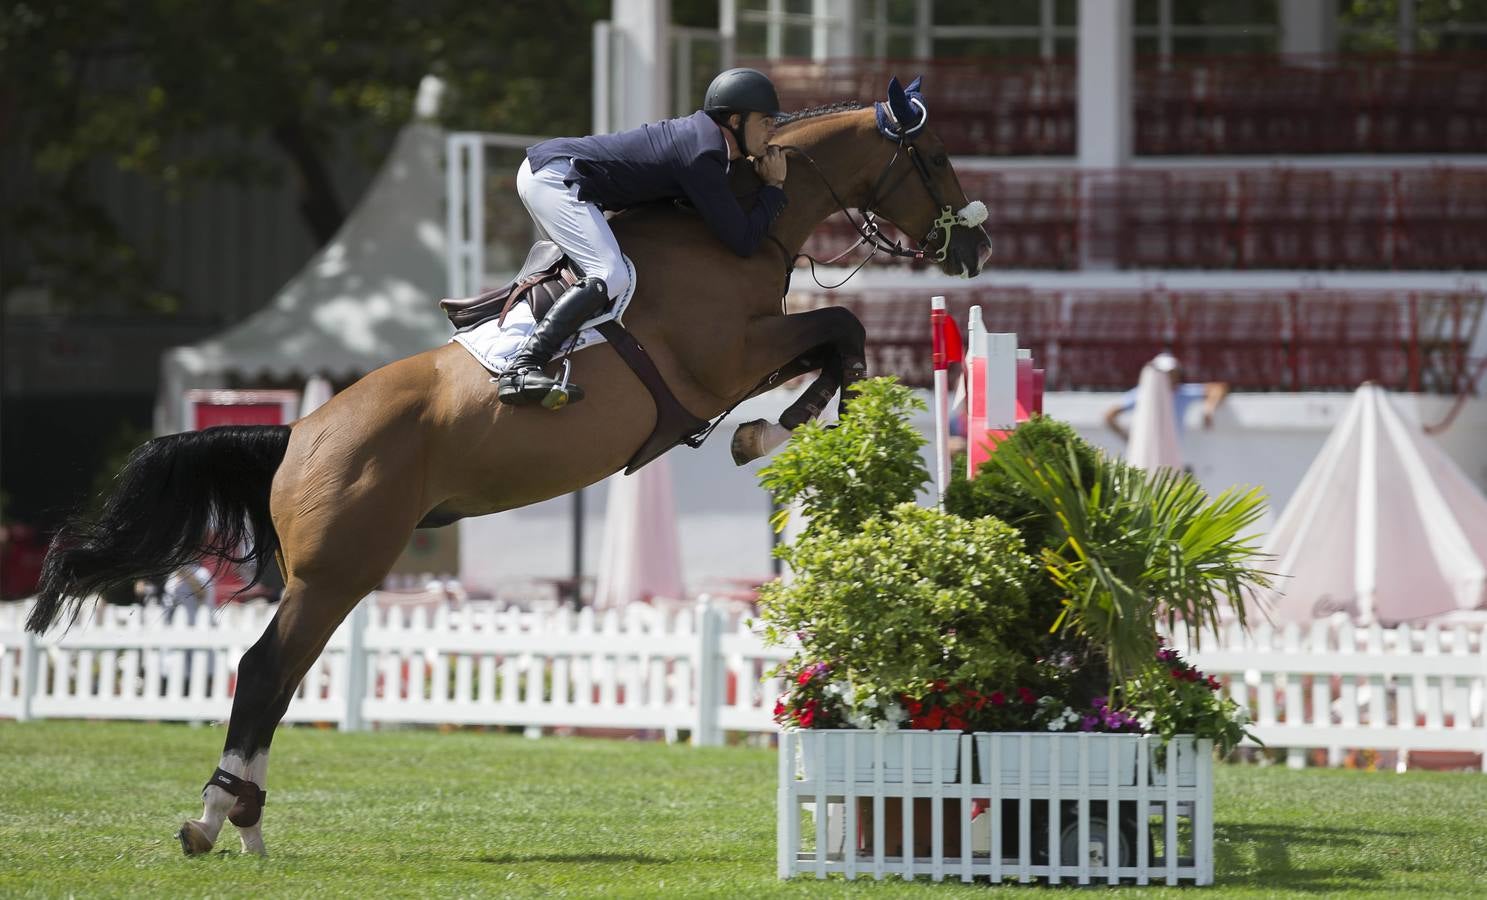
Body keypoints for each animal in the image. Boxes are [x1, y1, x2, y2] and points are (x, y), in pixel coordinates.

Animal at [23, 78, 993, 856]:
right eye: (937, 156)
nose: (975, 250)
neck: (738, 219)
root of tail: (297, 433)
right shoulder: (729, 354)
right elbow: (842, 332)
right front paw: (789, 435)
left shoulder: (750, 354)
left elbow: (835, 344)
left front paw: (781, 428)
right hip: (338, 569)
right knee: (264, 672)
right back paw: (218, 818)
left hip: (337, 575)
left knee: (283, 680)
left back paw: (246, 821)